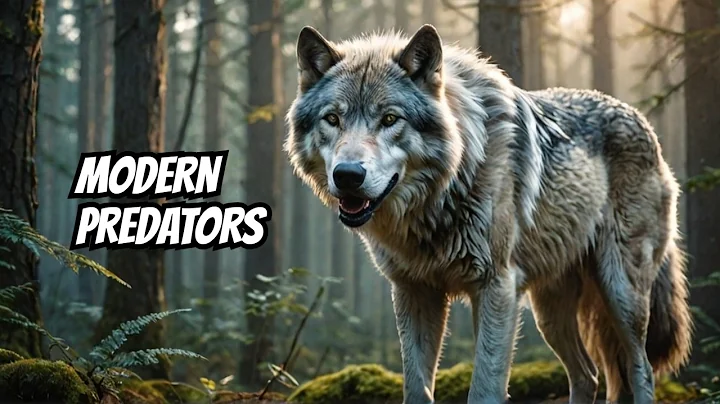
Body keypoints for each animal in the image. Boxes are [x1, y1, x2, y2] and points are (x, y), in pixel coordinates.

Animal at [284, 24, 693, 404]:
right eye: (332, 119)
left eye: (389, 119)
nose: (348, 175)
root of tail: (643, 122)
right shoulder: (414, 291)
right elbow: (417, 388)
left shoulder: (496, 289)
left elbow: (484, 388)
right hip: (549, 312)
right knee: (588, 374)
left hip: (621, 292)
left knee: (640, 369)